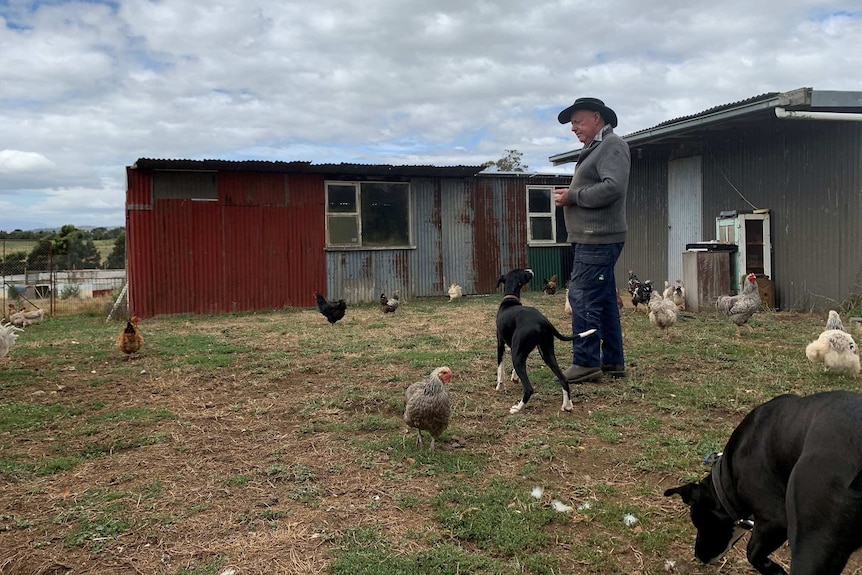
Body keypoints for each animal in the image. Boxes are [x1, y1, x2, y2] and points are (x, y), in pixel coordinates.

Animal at [496, 270, 596, 414]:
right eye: (524, 273)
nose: (530, 270)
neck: (510, 300)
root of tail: (543, 321)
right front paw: (514, 377)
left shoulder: (501, 344)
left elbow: (500, 369)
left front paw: (499, 385)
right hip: (546, 353)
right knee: (563, 379)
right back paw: (567, 405)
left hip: (520, 355)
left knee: (529, 388)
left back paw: (517, 408)